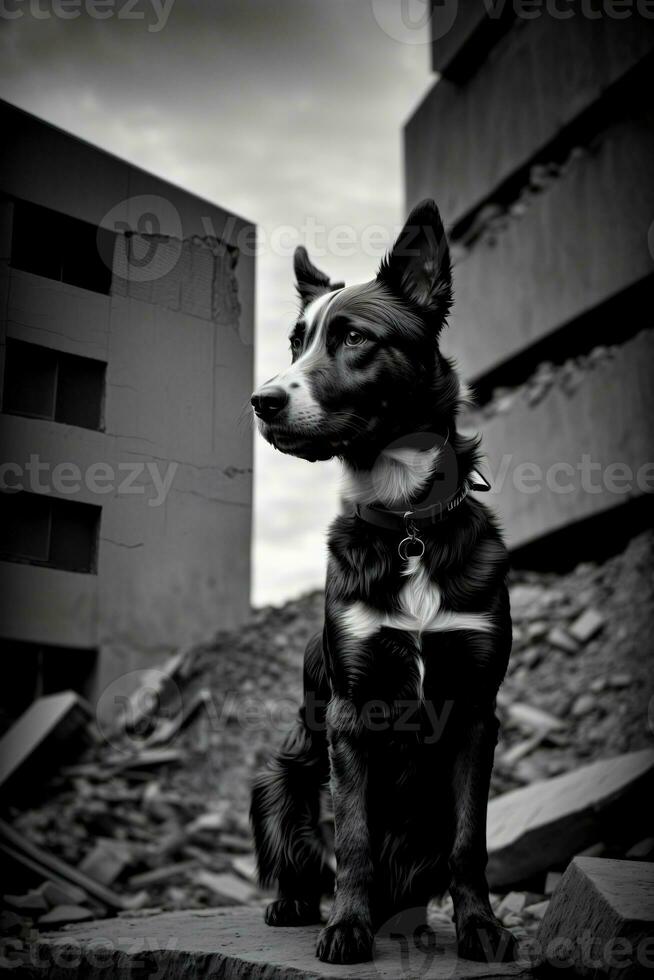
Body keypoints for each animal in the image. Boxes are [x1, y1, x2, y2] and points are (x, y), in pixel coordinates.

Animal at [250, 199, 516, 964]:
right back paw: (297, 903)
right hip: (277, 777)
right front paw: (347, 926)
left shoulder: (476, 710)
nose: (261, 400)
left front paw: (481, 925)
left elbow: (469, 843)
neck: (408, 524)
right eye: (295, 343)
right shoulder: (350, 712)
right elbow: (355, 840)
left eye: (353, 337)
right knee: (305, 856)